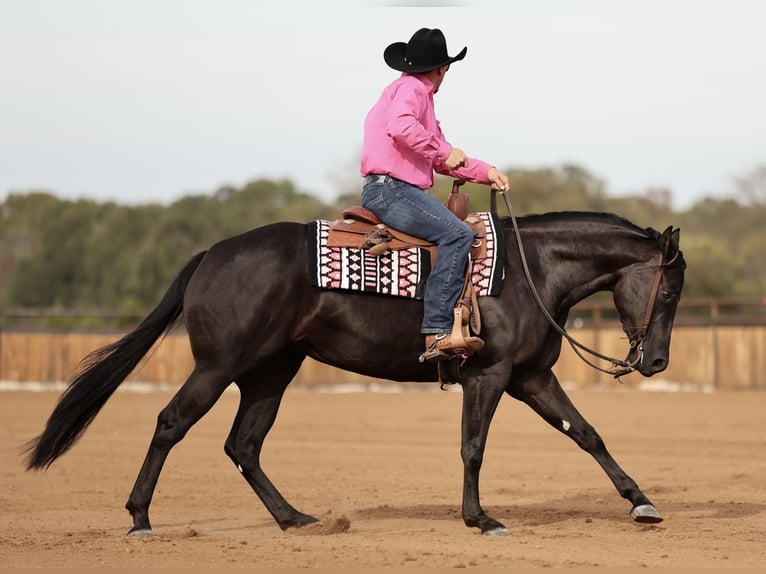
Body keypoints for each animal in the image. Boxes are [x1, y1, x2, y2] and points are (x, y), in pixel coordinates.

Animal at [25, 208, 685, 537]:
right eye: (670, 290)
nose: (655, 362)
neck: (528, 272)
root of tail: (213, 253)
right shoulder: (488, 376)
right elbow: (473, 447)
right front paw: (480, 519)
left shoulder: (531, 380)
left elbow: (587, 434)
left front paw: (641, 503)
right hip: (219, 366)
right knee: (171, 423)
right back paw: (140, 519)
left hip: (271, 373)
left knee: (244, 444)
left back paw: (294, 519)